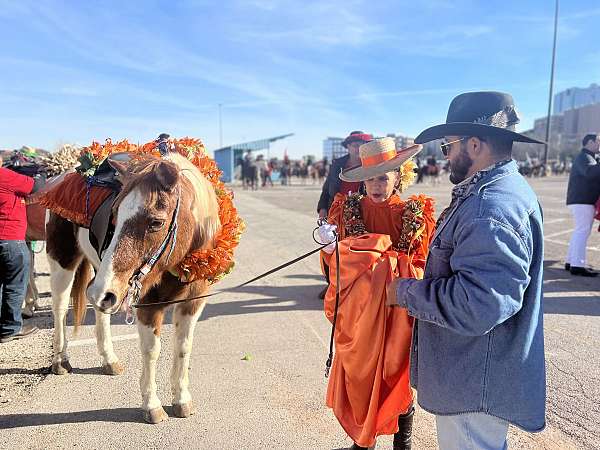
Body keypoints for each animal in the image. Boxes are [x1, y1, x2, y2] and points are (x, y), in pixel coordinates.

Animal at [47, 153, 220, 424]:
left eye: (156, 222)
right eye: (114, 215)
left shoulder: (193, 302)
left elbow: (183, 347)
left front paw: (182, 399)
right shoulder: (149, 305)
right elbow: (151, 351)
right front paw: (152, 405)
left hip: (103, 280)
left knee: (98, 304)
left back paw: (109, 360)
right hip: (64, 262)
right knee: (61, 307)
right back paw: (60, 361)